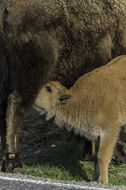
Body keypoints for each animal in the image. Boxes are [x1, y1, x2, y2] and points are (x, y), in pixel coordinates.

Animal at [34, 55, 126, 184]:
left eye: (48, 88)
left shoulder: (110, 131)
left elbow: (102, 157)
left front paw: (103, 181)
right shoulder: (96, 135)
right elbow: (96, 157)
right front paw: (94, 180)